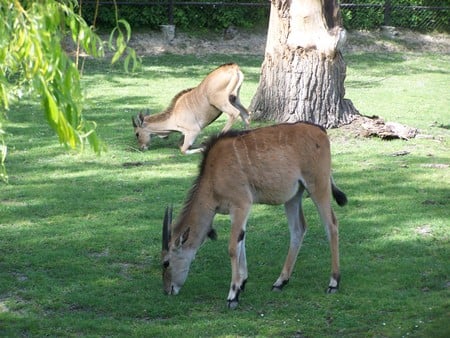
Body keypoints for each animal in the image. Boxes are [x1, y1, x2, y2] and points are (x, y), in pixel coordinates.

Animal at [162, 122, 348, 308]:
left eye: (166, 262)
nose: (167, 290)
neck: (212, 176)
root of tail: (320, 131)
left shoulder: (241, 205)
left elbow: (232, 247)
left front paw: (233, 295)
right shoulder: (238, 211)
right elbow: (241, 241)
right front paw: (242, 283)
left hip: (318, 186)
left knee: (331, 225)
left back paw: (333, 282)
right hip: (294, 196)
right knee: (298, 229)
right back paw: (280, 282)